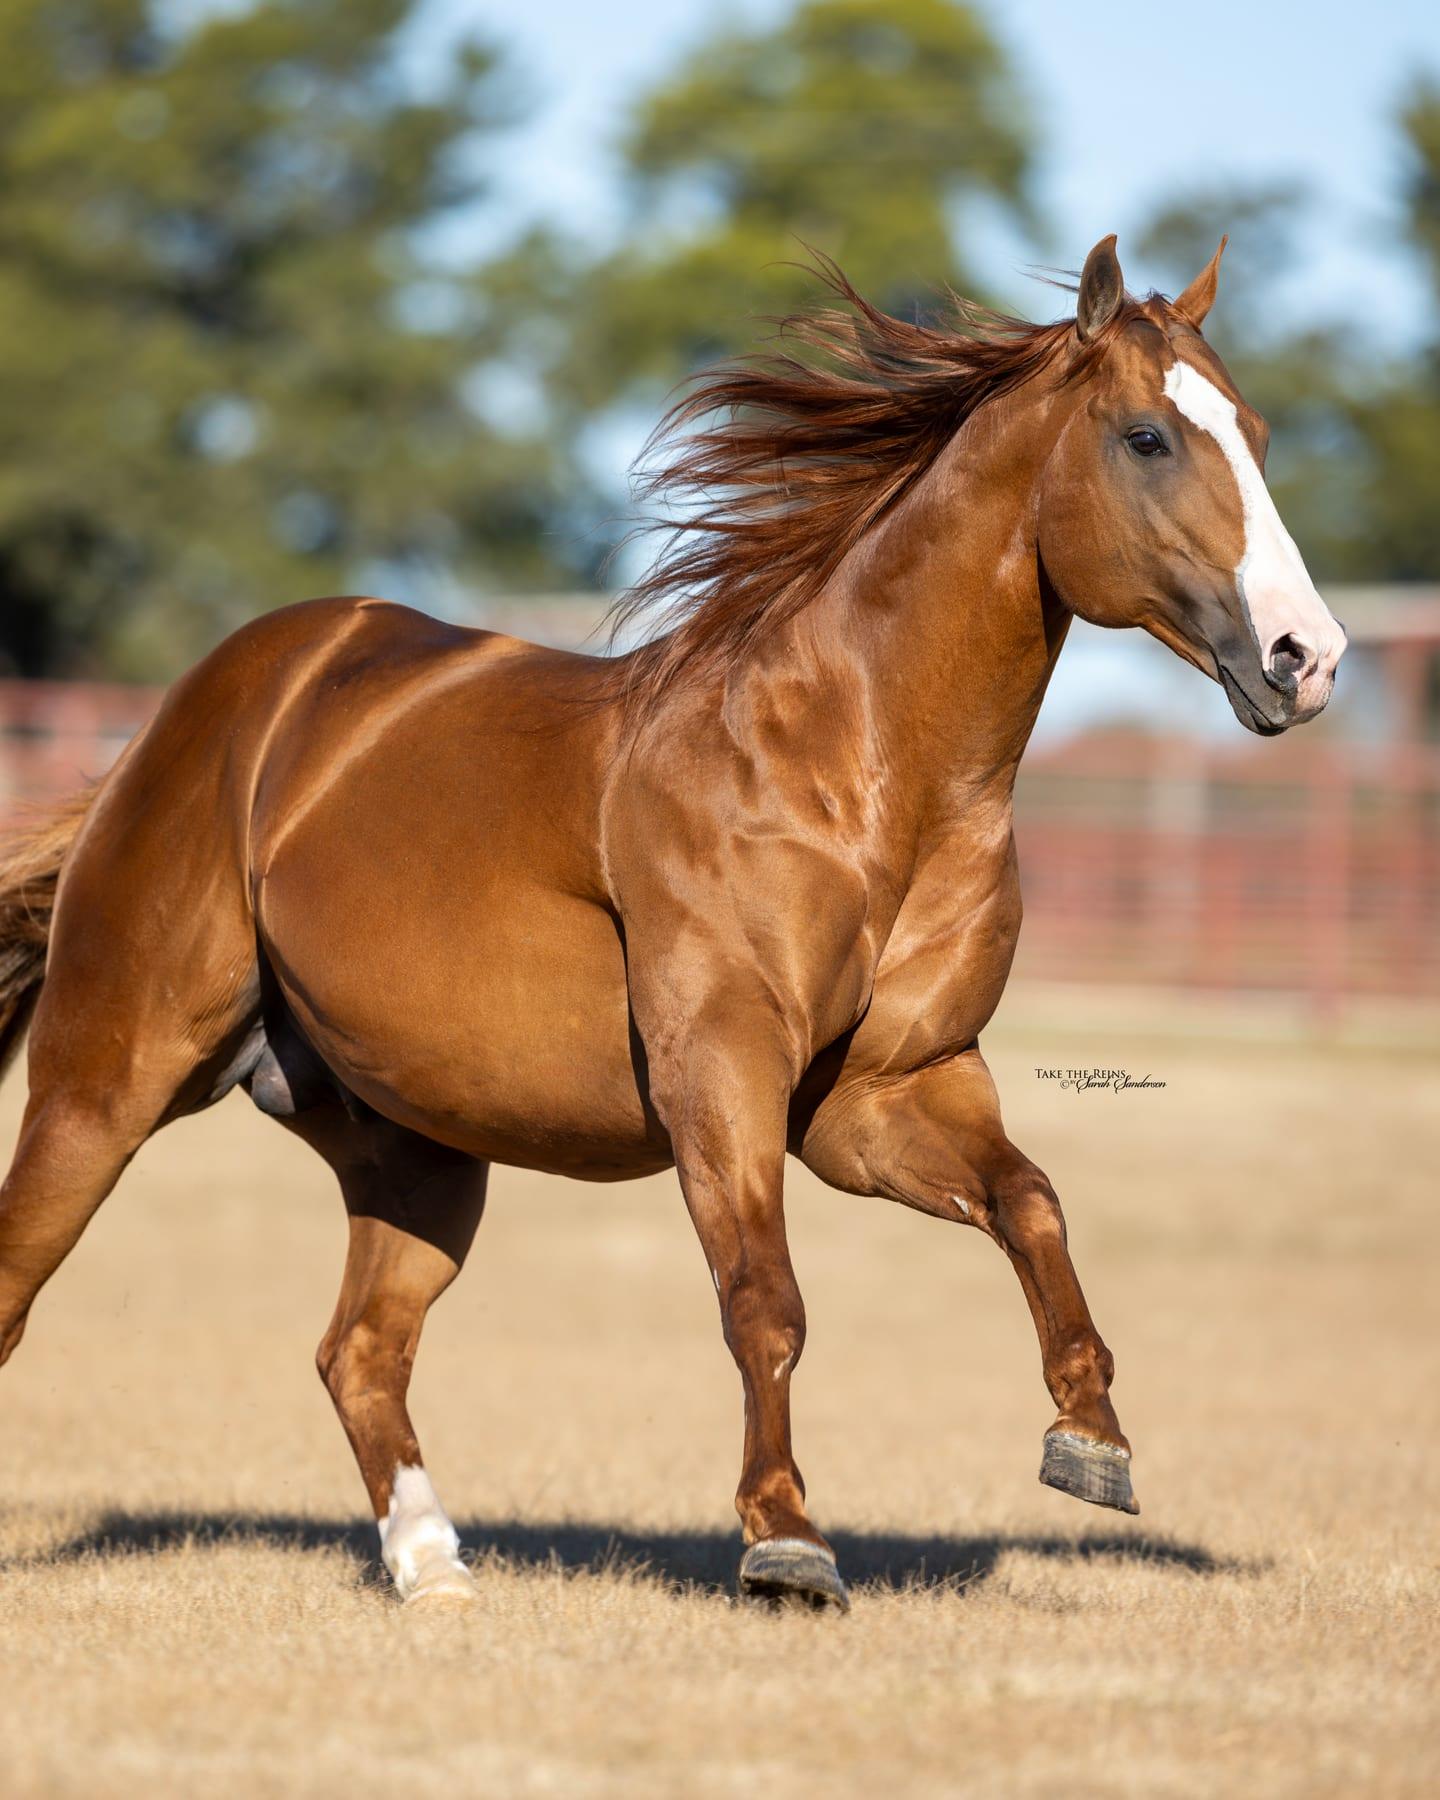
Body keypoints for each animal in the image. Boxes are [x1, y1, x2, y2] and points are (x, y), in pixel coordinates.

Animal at [0, 235, 1345, 1611]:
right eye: (1146, 437)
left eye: (1255, 431)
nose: (1309, 657)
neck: (850, 771)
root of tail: (189, 718)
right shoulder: (724, 1070)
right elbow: (766, 1298)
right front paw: (786, 1540)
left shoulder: (887, 1092)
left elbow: (1031, 1203)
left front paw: (1092, 1440)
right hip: (105, 1086)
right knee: (26, 1286)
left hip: (415, 1155)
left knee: (359, 1352)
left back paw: (435, 1569)